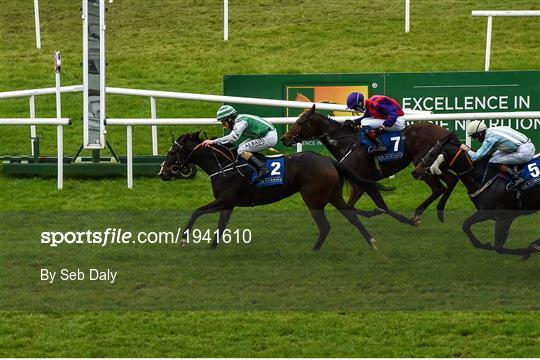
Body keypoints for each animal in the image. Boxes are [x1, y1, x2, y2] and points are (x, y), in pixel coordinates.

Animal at [158, 131, 390, 250]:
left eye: (173, 152)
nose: (162, 173)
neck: (223, 165)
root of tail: (329, 160)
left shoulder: (225, 200)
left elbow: (196, 212)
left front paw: (184, 240)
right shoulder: (228, 204)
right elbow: (220, 226)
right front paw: (212, 247)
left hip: (313, 199)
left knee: (325, 226)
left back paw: (314, 250)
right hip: (333, 195)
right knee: (352, 217)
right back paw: (372, 243)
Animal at [280, 105, 458, 226]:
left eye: (301, 122)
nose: (284, 138)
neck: (347, 143)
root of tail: (444, 132)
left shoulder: (359, 185)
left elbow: (351, 206)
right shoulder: (368, 183)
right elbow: (382, 206)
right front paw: (385, 214)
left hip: (422, 164)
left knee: (439, 188)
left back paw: (418, 214)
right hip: (438, 166)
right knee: (451, 181)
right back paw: (439, 212)